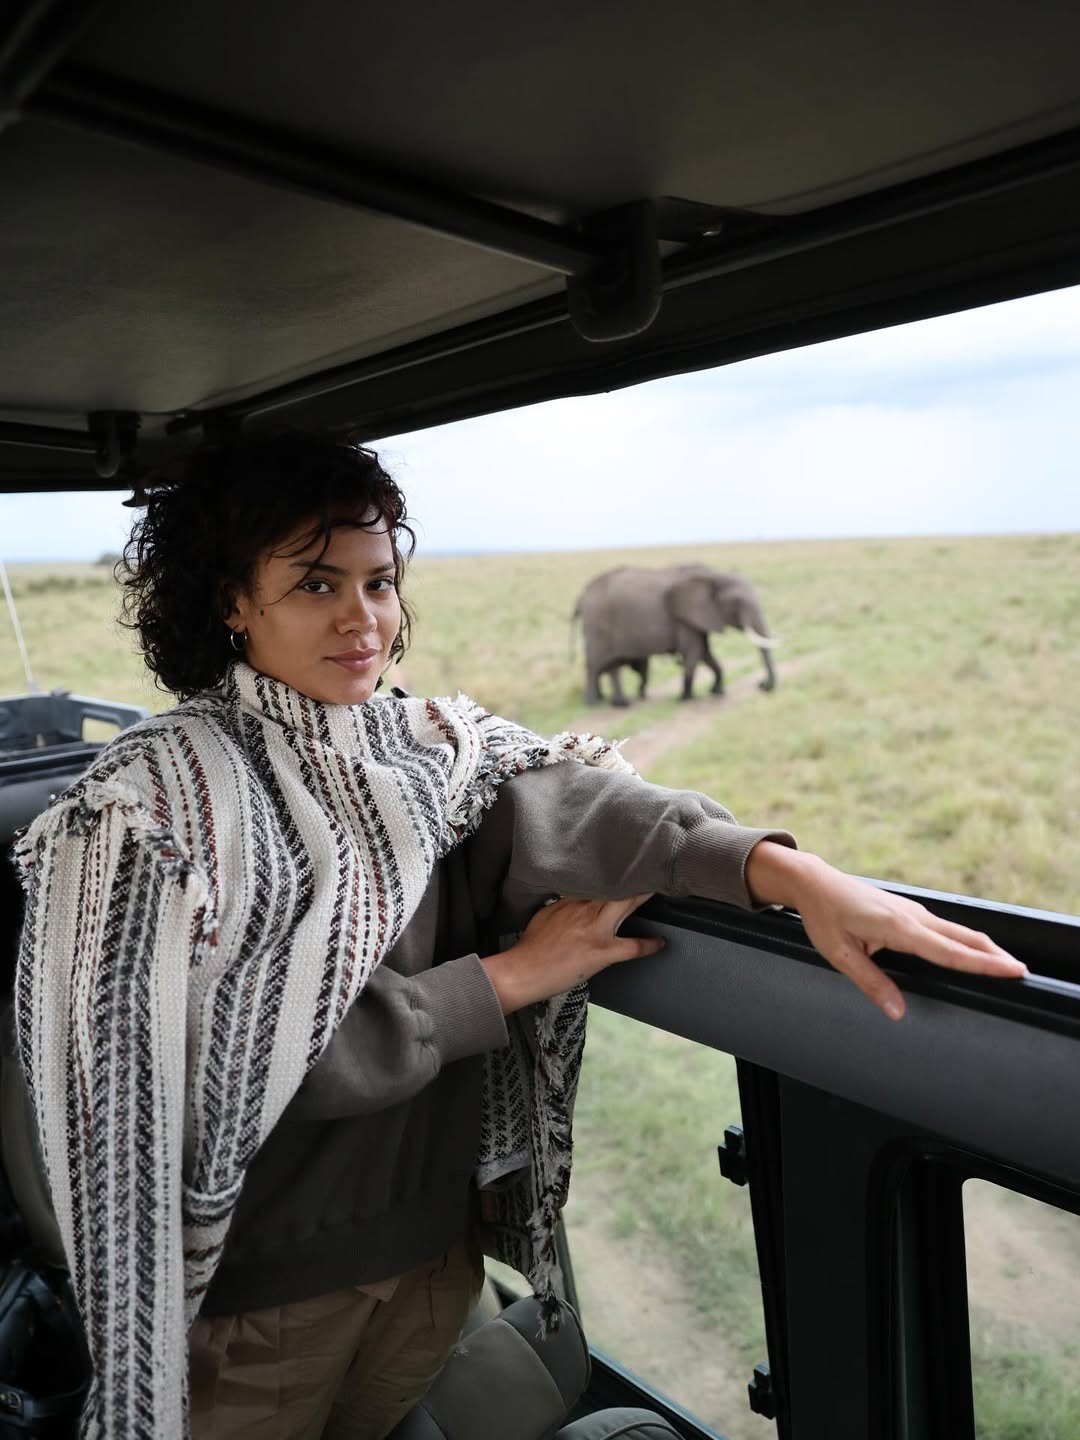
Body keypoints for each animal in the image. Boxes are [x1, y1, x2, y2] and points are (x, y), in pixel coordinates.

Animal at [571, 564, 777, 706]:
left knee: (610, 665)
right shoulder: (684, 621)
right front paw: (686, 698)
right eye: (737, 602)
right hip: (597, 623)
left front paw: (716, 692)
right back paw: (595, 703)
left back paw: (616, 702)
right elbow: (692, 655)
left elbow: (706, 654)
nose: (762, 685)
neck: (712, 575)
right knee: (595, 664)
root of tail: (582, 596)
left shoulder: (698, 620)